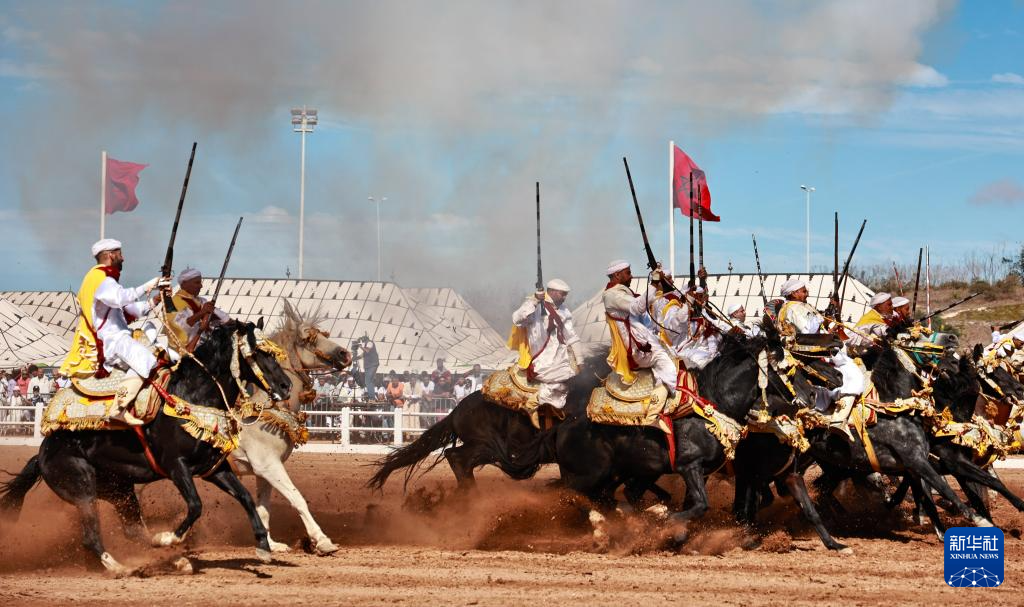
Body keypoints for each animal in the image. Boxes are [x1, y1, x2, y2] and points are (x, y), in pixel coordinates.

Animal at [0, 320, 292, 575]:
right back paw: (123, 567)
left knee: (132, 530)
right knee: (91, 536)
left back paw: (173, 560)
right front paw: (168, 538)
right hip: (83, 489)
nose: (286, 386)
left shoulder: (213, 468)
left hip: (120, 490)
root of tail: (42, 453)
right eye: (258, 352)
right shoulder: (176, 467)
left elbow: (245, 497)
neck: (192, 397)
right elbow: (196, 505)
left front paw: (263, 547)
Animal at [229, 300, 351, 555]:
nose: (345, 354)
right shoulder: (269, 466)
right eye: (308, 338)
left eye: (323, 334)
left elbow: (263, 508)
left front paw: (270, 544)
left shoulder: (264, 471)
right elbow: (298, 499)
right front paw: (323, 541)